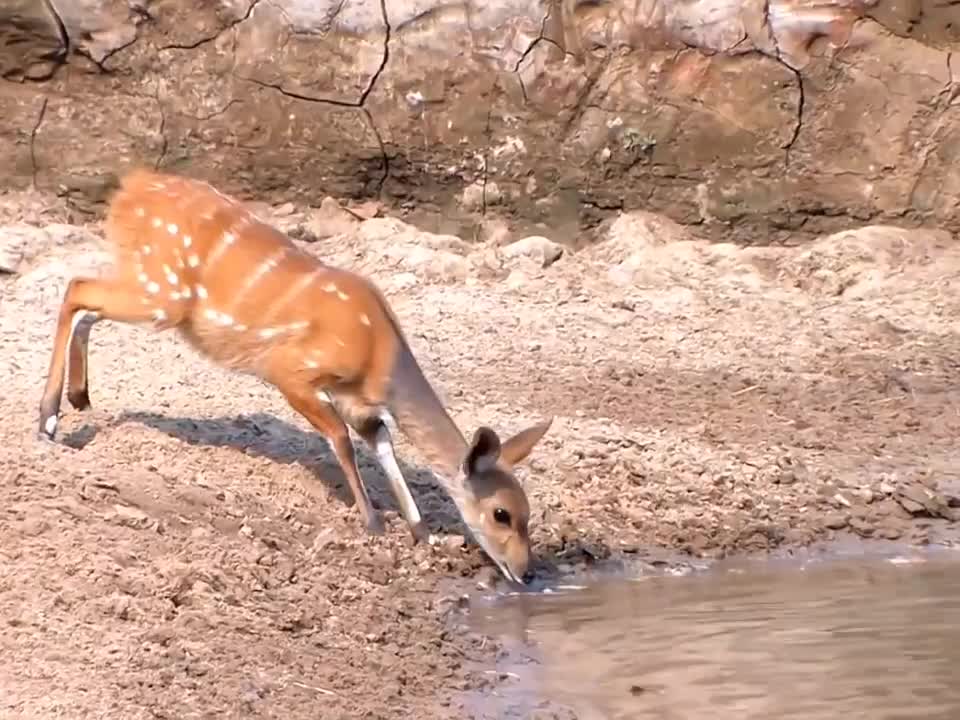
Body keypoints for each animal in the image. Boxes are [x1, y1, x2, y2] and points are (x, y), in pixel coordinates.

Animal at [39, 169, 556, 584]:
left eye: (528, 513)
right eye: (502, 514)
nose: (526, 573)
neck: (379, 352)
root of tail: (132, 186)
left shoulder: (361, 405)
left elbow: (381, 442)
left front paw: (421, 532)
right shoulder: (291, 372)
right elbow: (340, 439)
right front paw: (373, 523)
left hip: (152, 294)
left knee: (87, 303)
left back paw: (79, 398)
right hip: (162, 295)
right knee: (77, 288)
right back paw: (47, 420)